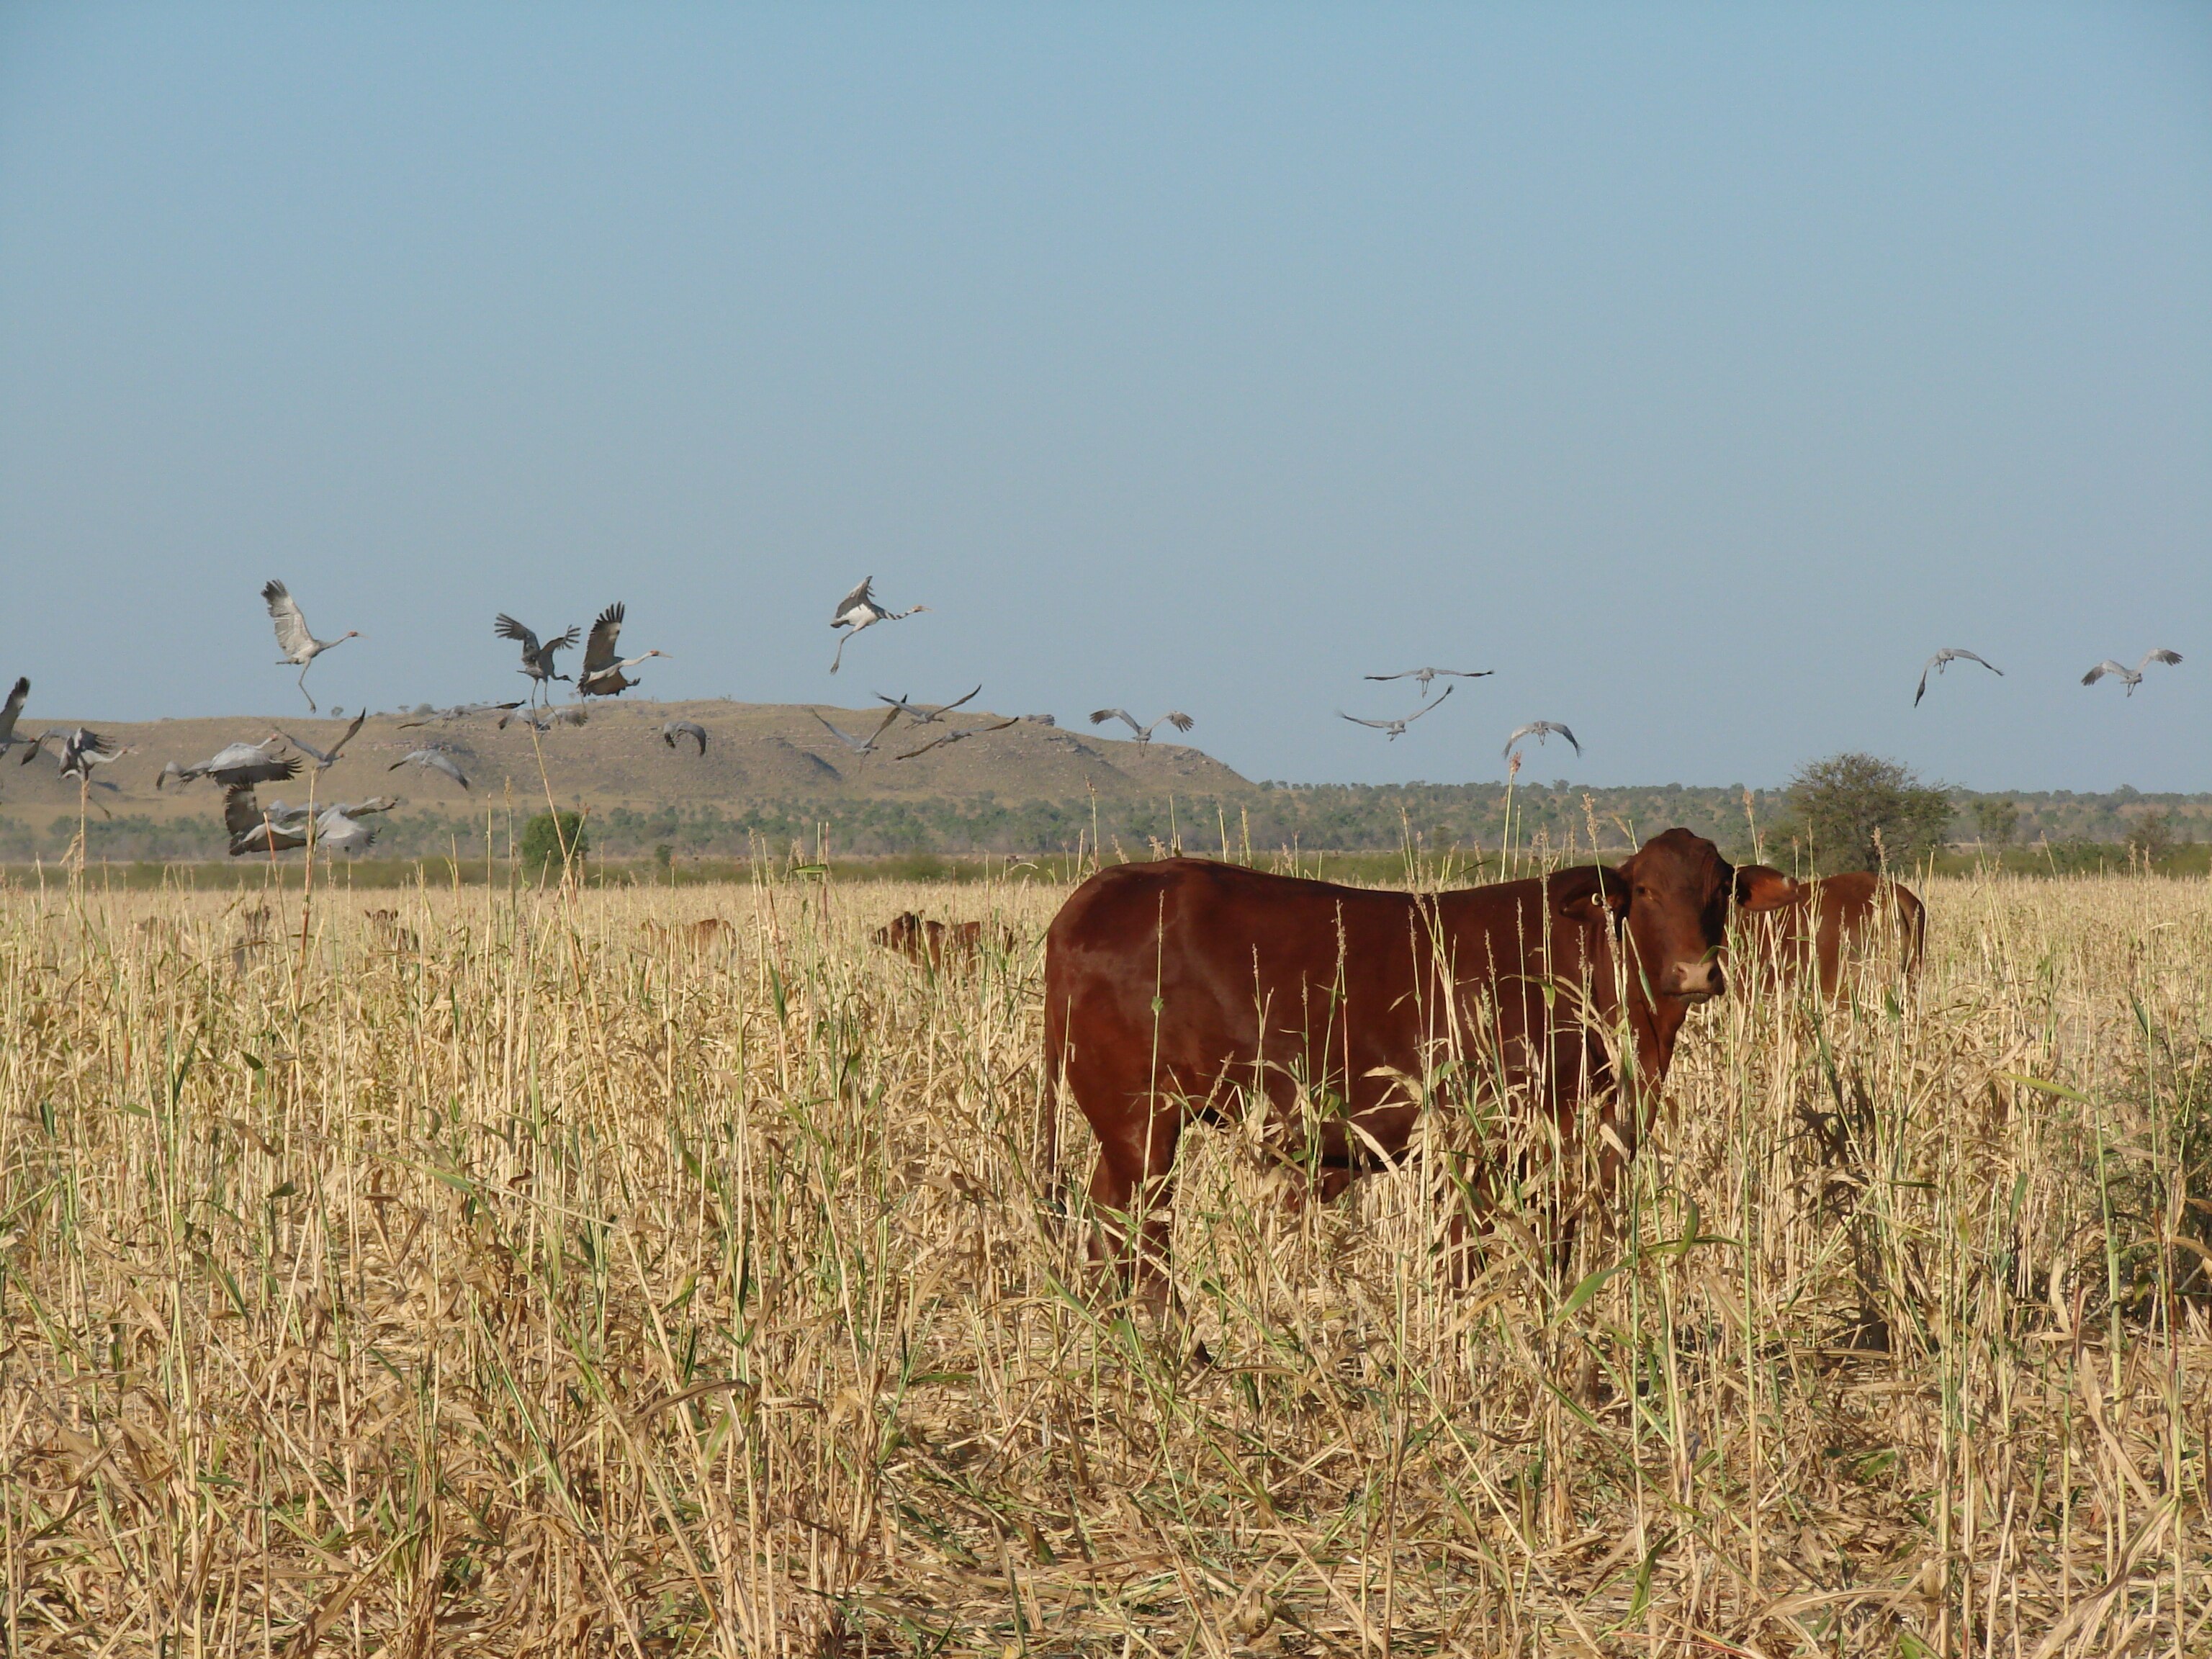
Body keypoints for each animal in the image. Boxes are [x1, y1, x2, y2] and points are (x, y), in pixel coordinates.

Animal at [1041, 830, 1796, 1315]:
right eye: (1643, 889)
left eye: (1721, 890)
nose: (1695, 973)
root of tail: (1098, 892)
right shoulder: (1483, 1134)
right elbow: (1469, 1255)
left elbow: (1554, 1243)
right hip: (1140, 1123)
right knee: (1139, 1232)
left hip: (1125, 1131)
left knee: (1105, 1227)